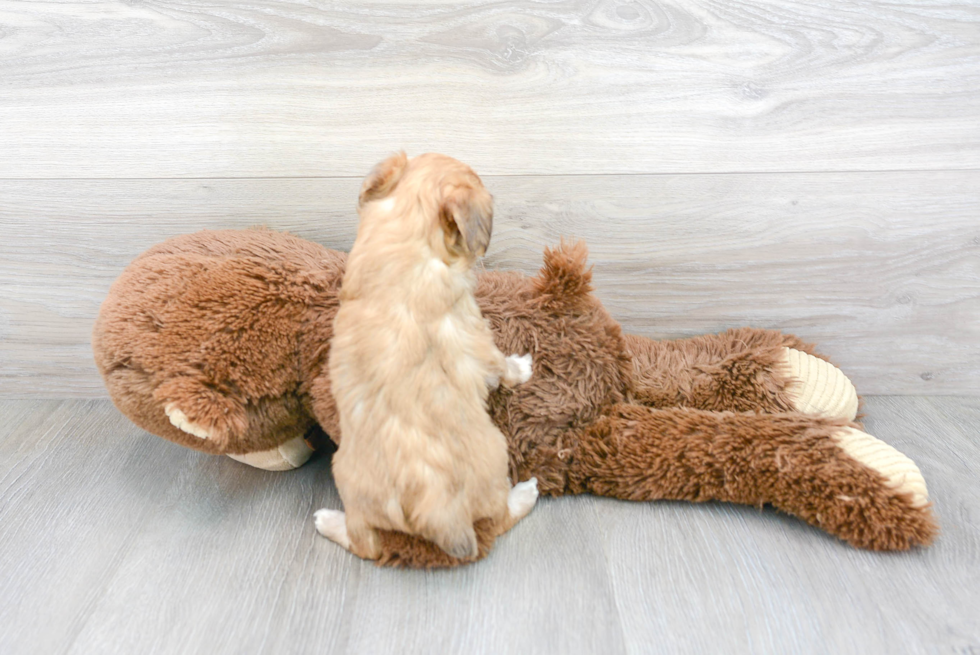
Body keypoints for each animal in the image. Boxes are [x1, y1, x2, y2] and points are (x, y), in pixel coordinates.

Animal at [318, 151, 540, 560]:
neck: (406, 240)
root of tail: (439, 516)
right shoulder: (478, 337)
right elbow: (503, 366)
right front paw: (523, 367)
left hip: (346, 478)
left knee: (364, 544)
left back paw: (327, 520)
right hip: (497, 457)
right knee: (500, 519)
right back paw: (525, 493)